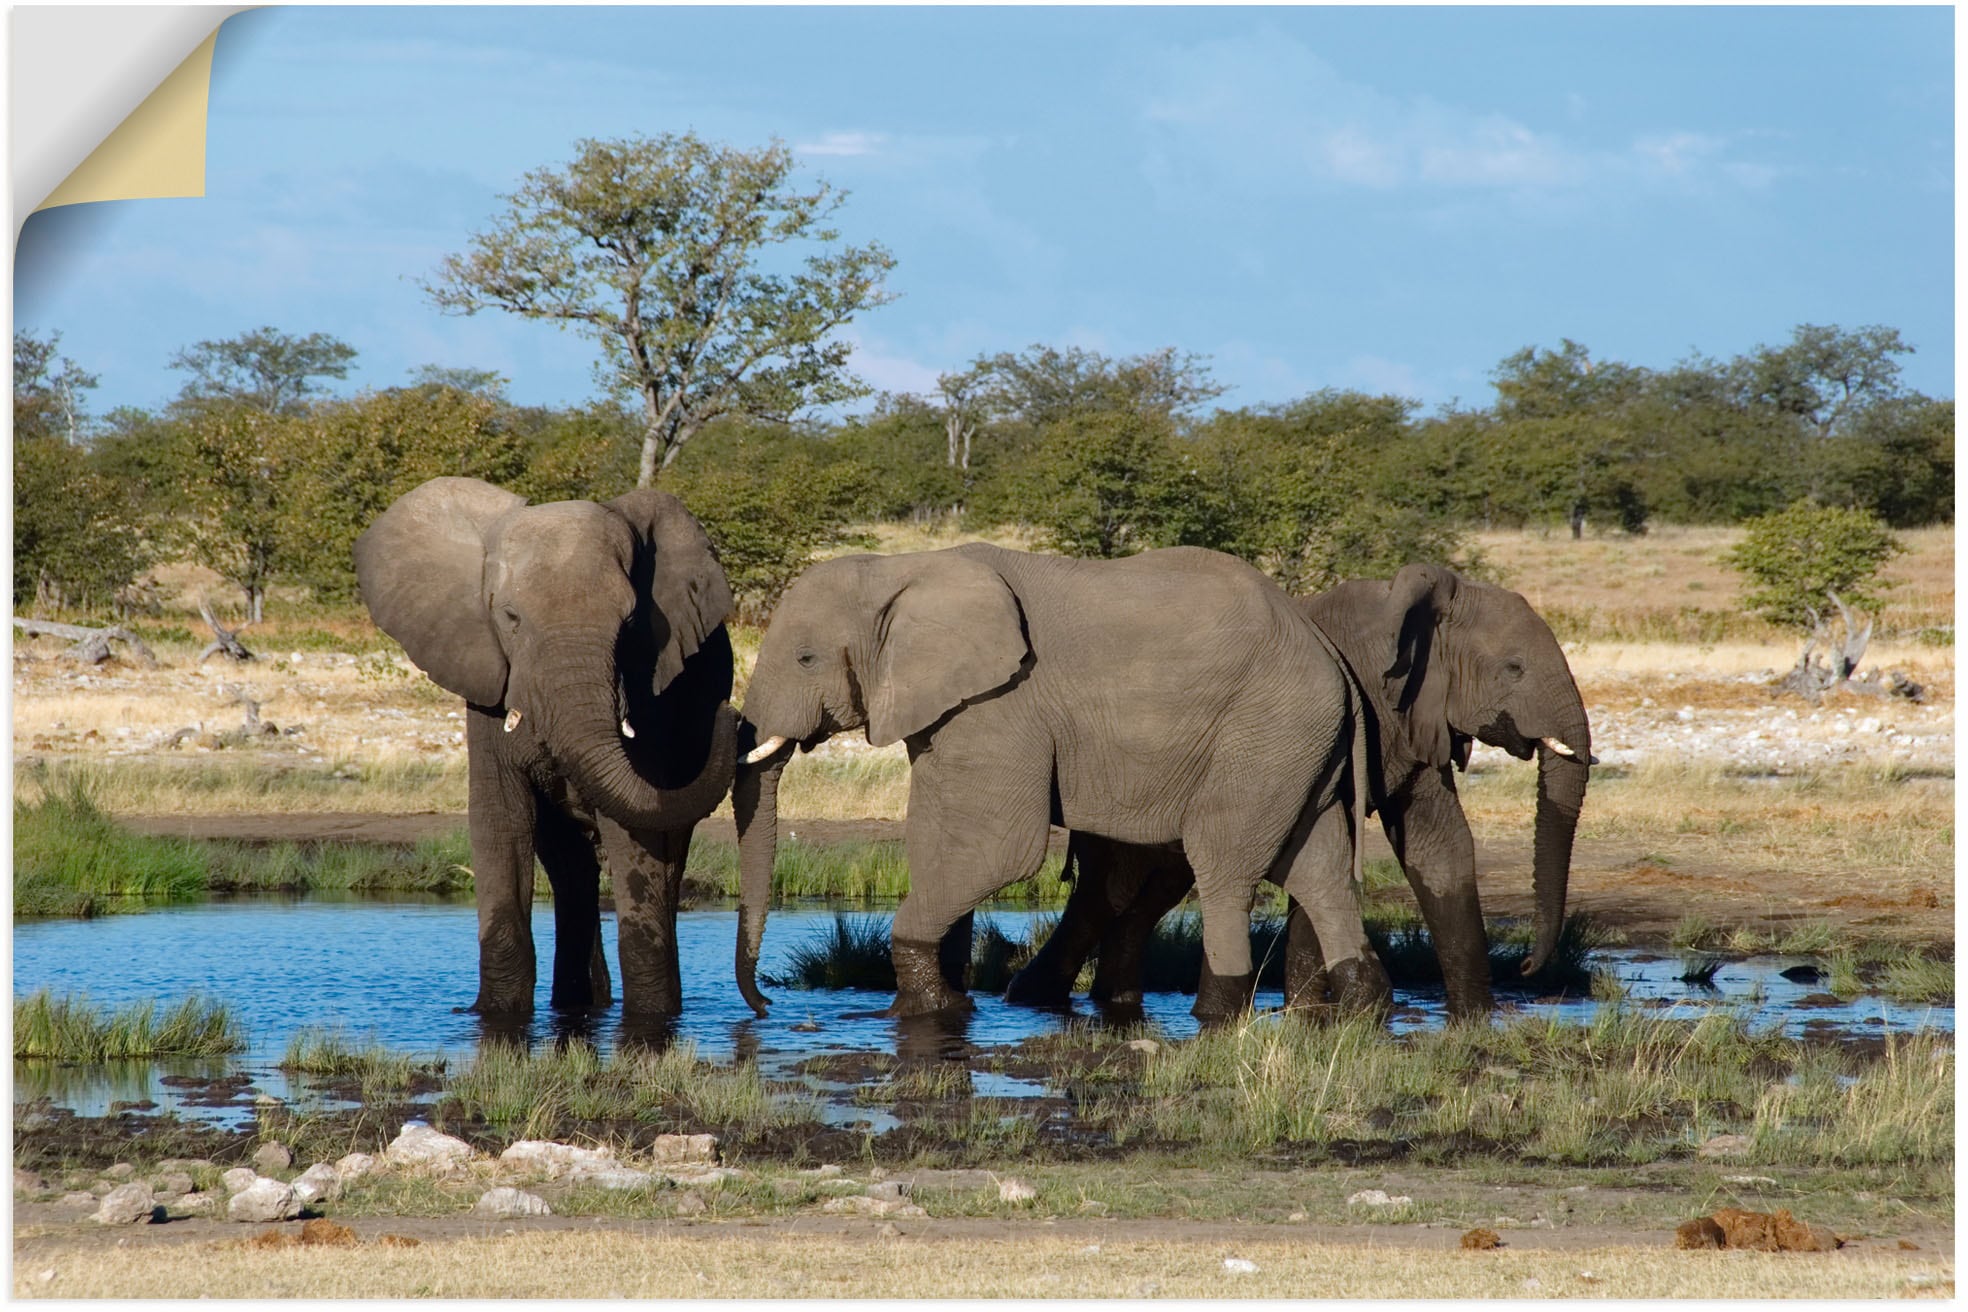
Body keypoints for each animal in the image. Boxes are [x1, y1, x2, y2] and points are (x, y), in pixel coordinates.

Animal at [350, 477, 736, 1022]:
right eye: (510, 616)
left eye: (632, 620)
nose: (731, 714)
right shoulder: (486, 689)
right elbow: (501, 820)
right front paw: (495, 1017)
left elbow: (635, 836)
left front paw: (651, 1021)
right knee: (571, 870)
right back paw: (579, 1004)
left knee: (665, 861)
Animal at [732, 542, 1377, 1022]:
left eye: (807, 659)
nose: (765, 1007)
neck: (900, 568)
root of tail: (1329, 651)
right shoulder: (954, 710)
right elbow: (937, 838)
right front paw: (949, 1002)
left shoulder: (1005, 703)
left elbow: (999, 850)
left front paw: (925, 1008)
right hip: (1295, 746)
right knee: (1319, 868)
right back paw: (1363, 1005)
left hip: (1265, 731)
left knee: (1225, 866)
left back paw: (1216, 1013)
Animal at [1007, 558, 1590, 1022]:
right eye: (1514, 668)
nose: (1526, 965)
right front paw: (1308, 1011)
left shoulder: (1416, 720)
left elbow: (1439, 850)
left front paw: (1473, 1018)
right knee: (1112, 887)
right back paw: (1034, 1000)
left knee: (1147, 891)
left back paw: (1105, 1002)